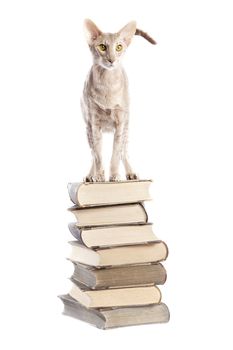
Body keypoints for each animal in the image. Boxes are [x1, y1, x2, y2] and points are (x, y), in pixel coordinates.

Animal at [81, 18, 156, 183]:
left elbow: (116, 153)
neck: (108, 85)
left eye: (119, 47)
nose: (112, 60)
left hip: (127, 126)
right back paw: (91, 175)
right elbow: (97, 155)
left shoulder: (120, 123)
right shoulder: (94, 124)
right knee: (93, 153)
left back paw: (130, 173)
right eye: (102, 47)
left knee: (124, 151)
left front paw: (114, 175)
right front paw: (99, 176)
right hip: (88, 128)